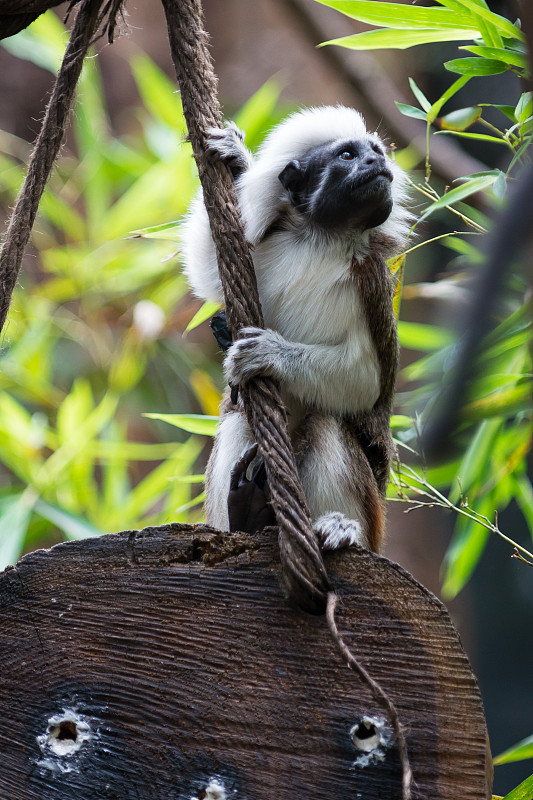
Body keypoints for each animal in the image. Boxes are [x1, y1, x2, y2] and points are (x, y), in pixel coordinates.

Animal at [181, 106, 410, 552]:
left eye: (375, 152)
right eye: (347, 155)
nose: (377, 163)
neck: (320, 240)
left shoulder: (370, 282)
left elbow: (365, 380)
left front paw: (269, 354)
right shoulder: (270, 250)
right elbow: (208, 272)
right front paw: (235, 159)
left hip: (373, 514)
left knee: (326, 425)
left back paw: (340, 529)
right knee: (239, 419)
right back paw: (246, 516)